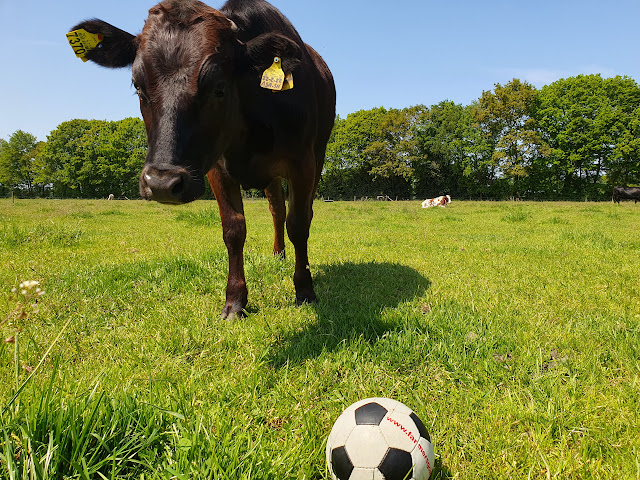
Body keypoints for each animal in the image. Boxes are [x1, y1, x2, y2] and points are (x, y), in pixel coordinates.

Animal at [70, 0, 336, 318]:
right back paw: (277, 254)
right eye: (137, 85)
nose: (161, 183)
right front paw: (235, 301)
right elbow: (233, 229)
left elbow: (299, 224)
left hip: (317, 156)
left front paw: (305, 290)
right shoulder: (216, 168)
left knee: (299, 214)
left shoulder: (302, 162)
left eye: (218, 86)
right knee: (276, 210)